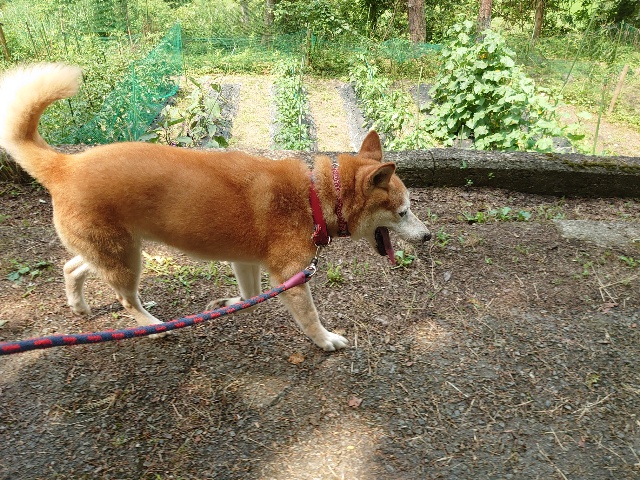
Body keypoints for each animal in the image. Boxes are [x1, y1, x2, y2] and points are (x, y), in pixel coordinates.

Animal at [0, 63, 431, 351]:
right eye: (403, 211)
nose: (428, 235)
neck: (315, 198)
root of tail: (65, 165)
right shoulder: (291, 278)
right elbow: (310, 319)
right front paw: (326, 341)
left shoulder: (245, 261)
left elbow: (249, 294)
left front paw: (230, 304)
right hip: (126, 259)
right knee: (125, 299)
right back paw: (153, 324)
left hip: (117, 249)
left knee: (72, 266)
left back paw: (79, 305)